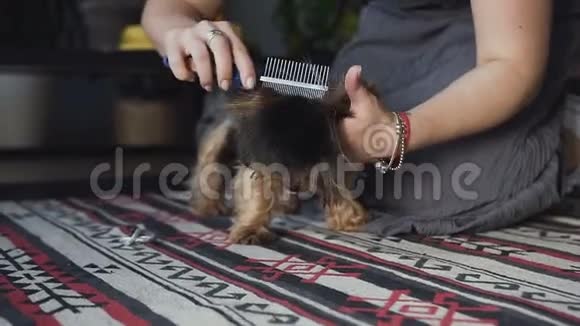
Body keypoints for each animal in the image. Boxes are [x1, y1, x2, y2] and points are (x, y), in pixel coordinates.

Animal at [190, 81, 370, 244]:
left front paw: (347, 216)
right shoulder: (264, 158)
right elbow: (259, 192)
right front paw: (251, 229)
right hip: (218, 132)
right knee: (209, 165)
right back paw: (208, 206)